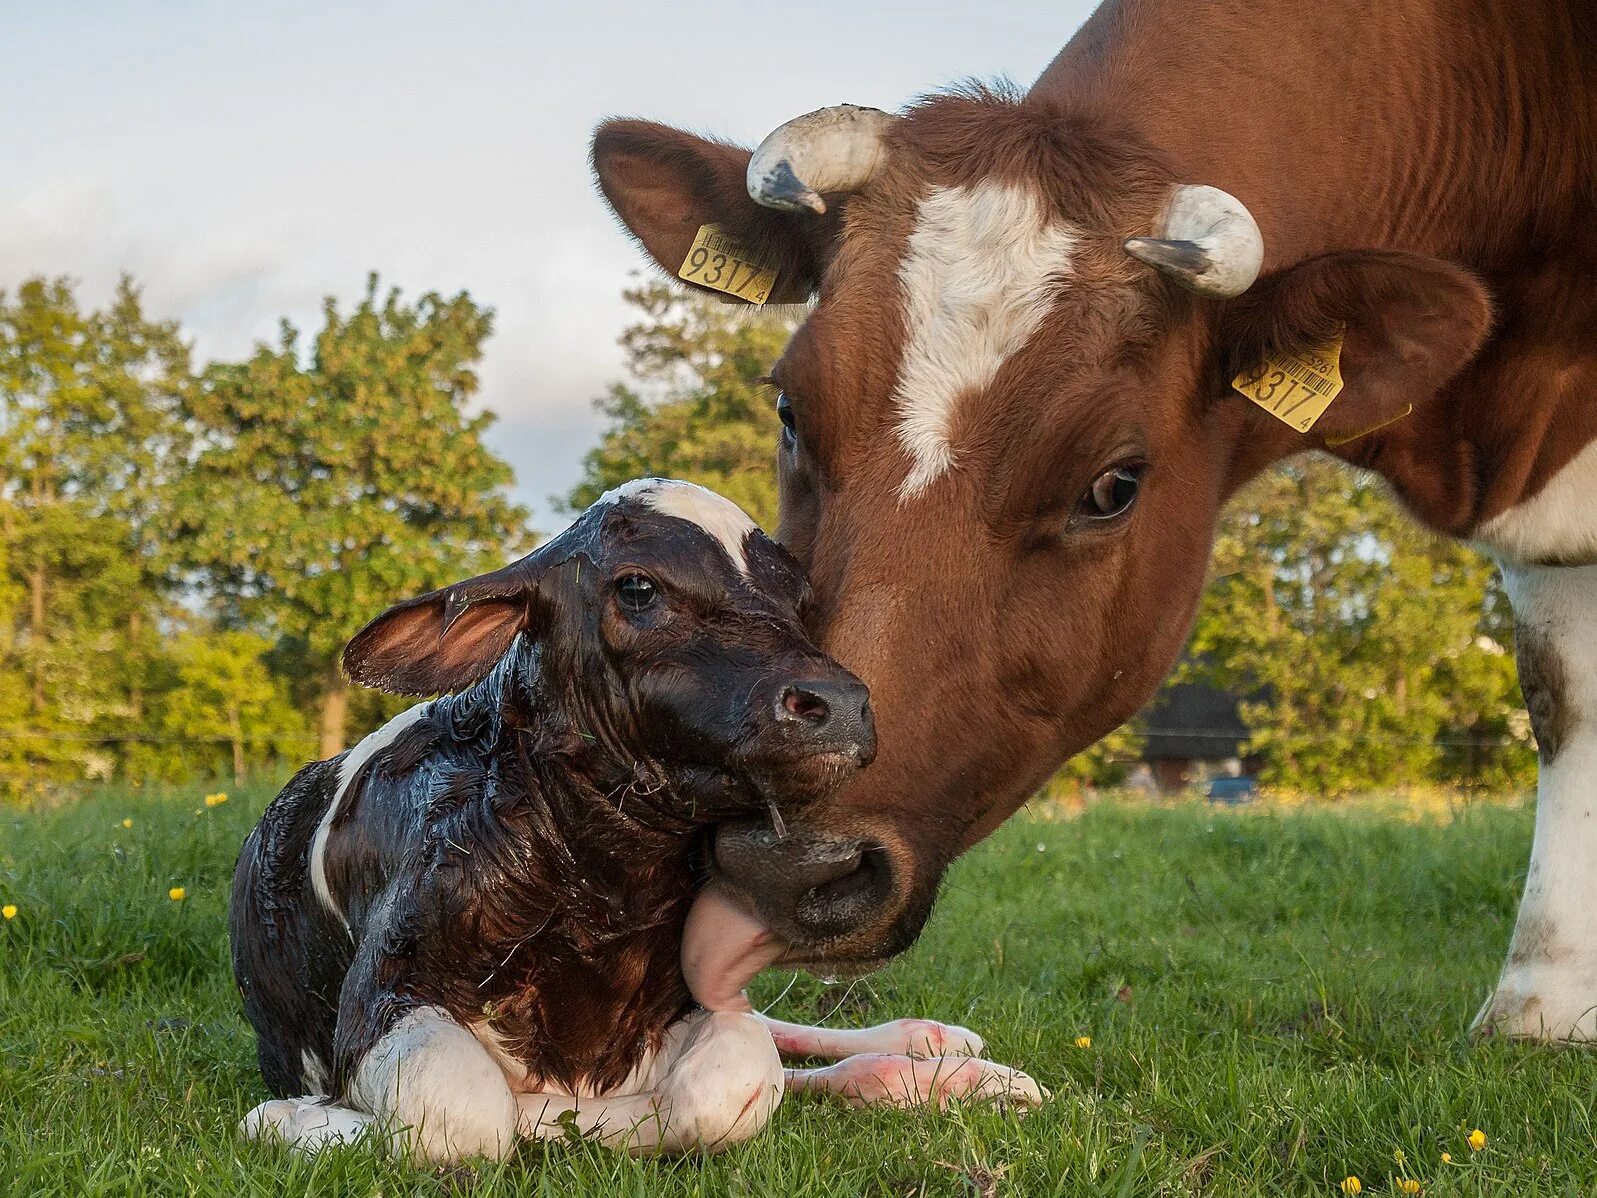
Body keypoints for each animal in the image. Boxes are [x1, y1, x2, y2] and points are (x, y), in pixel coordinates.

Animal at [231, 479, 1041, 1162]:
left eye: (800, 600)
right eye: (637, 587)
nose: (839, 704)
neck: (602, 887)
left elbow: (734, 1078)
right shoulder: (384, 990)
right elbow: (467, 1114)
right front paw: (293, 1117)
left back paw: (941, 1055)